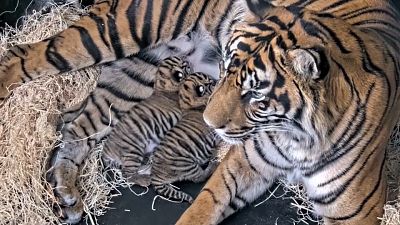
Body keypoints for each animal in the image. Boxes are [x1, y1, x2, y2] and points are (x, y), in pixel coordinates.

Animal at [0, 0, 398, 225]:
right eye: (225, 68)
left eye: (255, 93)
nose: (209, 123)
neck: (296, 137)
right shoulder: (245, 163)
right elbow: (202, 208)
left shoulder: (355, 210)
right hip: (112, 31)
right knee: (23, 54)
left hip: (132, 79)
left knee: (74, 128)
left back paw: (67, 196)